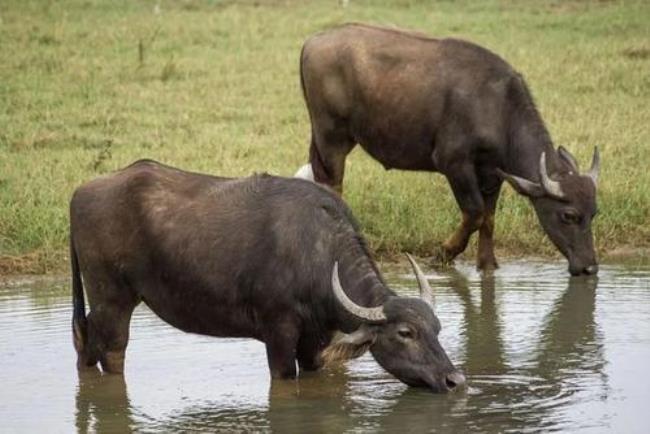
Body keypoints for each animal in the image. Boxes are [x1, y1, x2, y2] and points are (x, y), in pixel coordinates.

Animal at [71, 160, 464, 394]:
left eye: (437, 328)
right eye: (405, 333)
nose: (454, 379)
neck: (318, 254)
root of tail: (81, 192)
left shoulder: (315, 340)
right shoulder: (278, 333)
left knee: (85, 342)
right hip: (113, 299)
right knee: (112, 352)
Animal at [296, 23, 600, 274]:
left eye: (594, 213)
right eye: (569, 215)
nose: (590, 268)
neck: (498, 108)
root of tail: (312, 41)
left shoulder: (492, 173)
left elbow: (489, 218)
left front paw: (487, 265)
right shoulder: (454, 164)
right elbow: (475, 213)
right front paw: (443, 254)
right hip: (331, 137)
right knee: (332, 184)